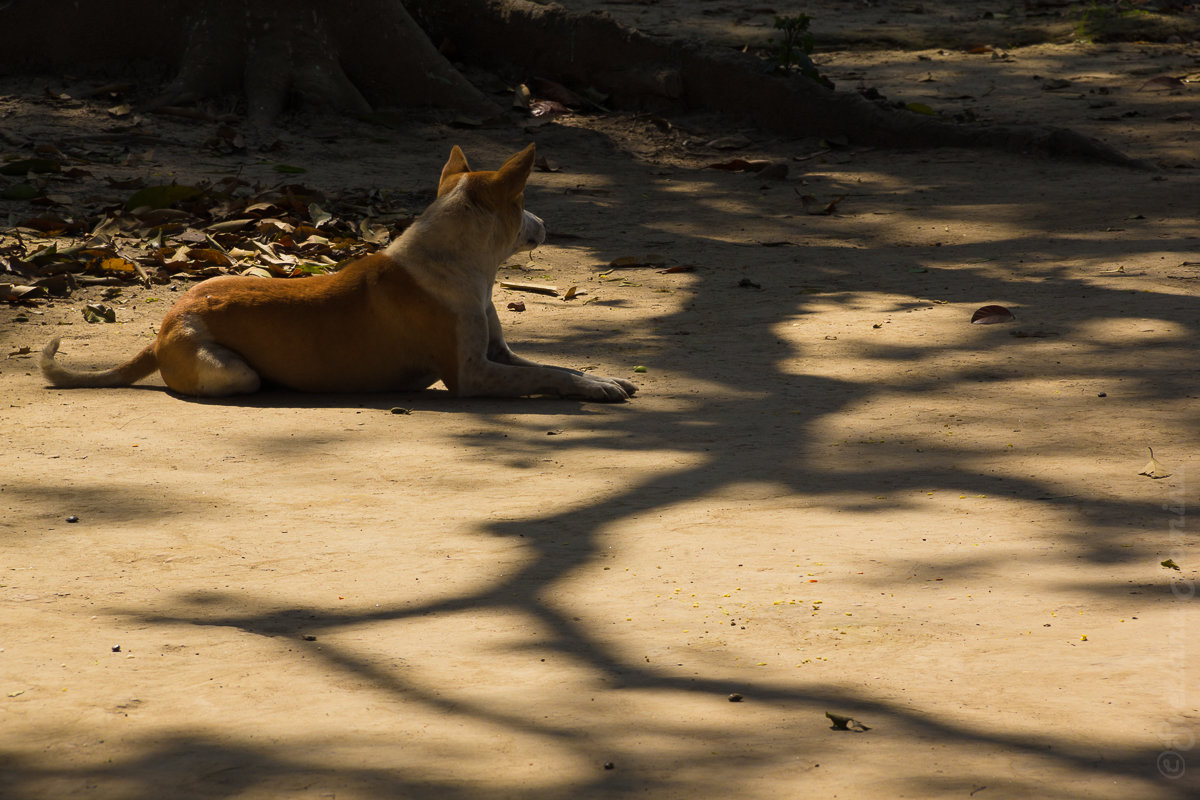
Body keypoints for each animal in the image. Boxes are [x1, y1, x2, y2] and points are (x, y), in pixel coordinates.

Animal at [39, 143, 638, 400]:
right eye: (523, 202)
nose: (546, 223)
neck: (460, 263)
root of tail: (168, 319)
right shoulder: (473, 376)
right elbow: (545, 375)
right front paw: (593, 387)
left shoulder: (499, 356)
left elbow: (552, 364)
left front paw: (599, 376)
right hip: (232, 371)